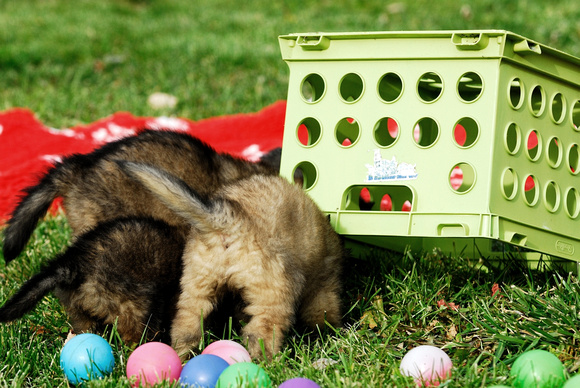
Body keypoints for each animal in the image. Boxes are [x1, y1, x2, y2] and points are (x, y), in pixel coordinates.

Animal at [119, 161, 344, 358]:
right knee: (261, 331)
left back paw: (183, 355)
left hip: (197, 285)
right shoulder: (323, 285)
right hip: (276, 292)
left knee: (186, 325)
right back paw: (268, 361)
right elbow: (323, 312)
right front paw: (328, 332)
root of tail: (230, 221)